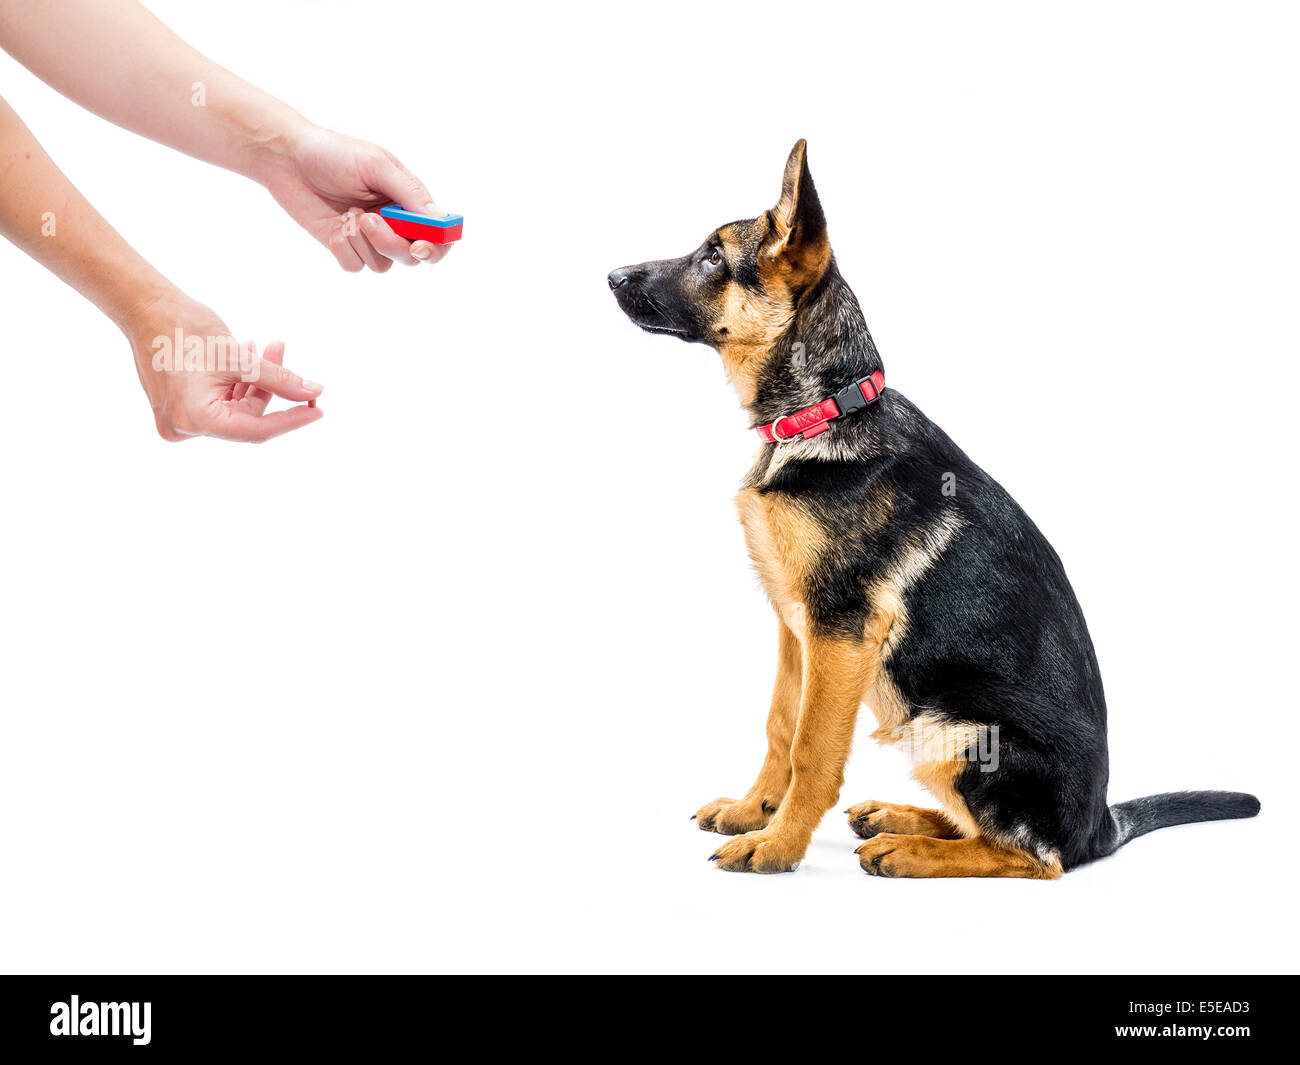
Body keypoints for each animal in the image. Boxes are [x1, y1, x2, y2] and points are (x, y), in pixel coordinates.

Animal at [605, 137, 1258, 879]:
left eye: (715, 256)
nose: (611, 275)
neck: (827, 410)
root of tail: (1101, 826)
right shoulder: (796, 626)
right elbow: (779, 725)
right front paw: (755, 811)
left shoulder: (840, 631)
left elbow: (812, 750)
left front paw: (777, 847)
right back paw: (901, 816)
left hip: (956, 731)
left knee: (1032, 856)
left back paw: (911, 848)